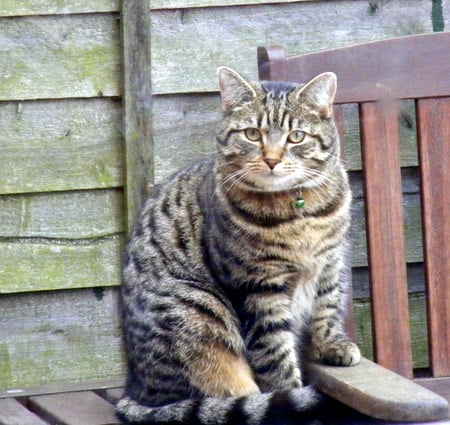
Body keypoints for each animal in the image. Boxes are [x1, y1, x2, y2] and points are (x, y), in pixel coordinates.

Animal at [115, 66, 358, 424]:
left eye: (296, 137)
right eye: (252, 134)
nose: (271, 159)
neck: (299, 213)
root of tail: (136, 391)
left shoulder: (330, 265)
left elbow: (327, 310)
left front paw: (332, 346)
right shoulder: (258, 287)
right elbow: (275, 354)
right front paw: (291, 391)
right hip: (197, 313)